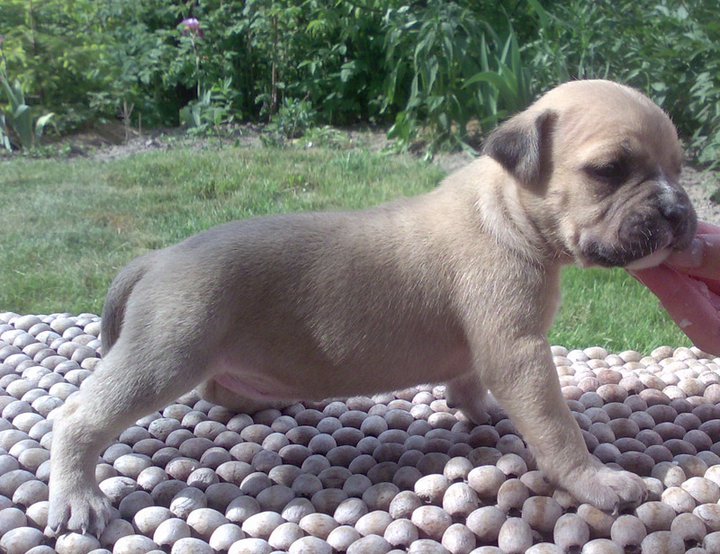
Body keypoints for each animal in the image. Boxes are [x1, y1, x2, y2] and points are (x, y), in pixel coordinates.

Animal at [48, 80, 696, 535]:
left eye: (679, 166)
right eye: (608, 171)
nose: (676, 212)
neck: (505, 208)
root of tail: (157, 258)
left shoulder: (488, 350)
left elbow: (468, 380)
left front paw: (480, 411)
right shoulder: (520, 352)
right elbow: (555, 427)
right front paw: (595, 481)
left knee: (214, 390)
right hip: (166, 354)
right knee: (80, 416)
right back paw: (77, 497)